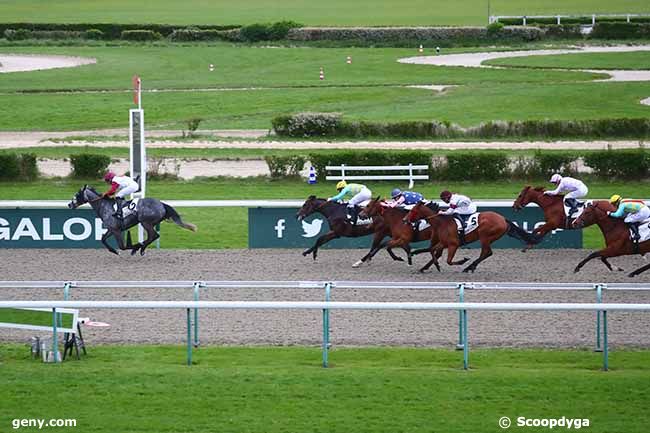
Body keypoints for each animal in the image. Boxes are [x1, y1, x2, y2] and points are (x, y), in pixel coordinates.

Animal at [68, 184, 196, 255]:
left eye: (77, 194)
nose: (69, 204)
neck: (104, 206)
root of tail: (162, 204)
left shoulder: (116, 230)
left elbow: (122, 246)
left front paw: (132, 247)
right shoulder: (112, 229)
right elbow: (103, 239)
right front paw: (114, 251)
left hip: (145, 222)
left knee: (154, 235)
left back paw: (140, 248)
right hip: (150, 223)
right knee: (152, 236)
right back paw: (141, 247)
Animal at [404, 200, 536, 274]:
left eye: (413, 211)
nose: (404, 220)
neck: (442, 222)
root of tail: (503, 219)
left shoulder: (453, 244)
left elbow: (448, 260)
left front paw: (463, 260)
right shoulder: (443, 243)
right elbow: (432, 250)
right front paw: (431, 265)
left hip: (485, 236)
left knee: (487, 252)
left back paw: (468, 267)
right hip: (486, 238)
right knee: (486, 253)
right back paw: (470, 267)